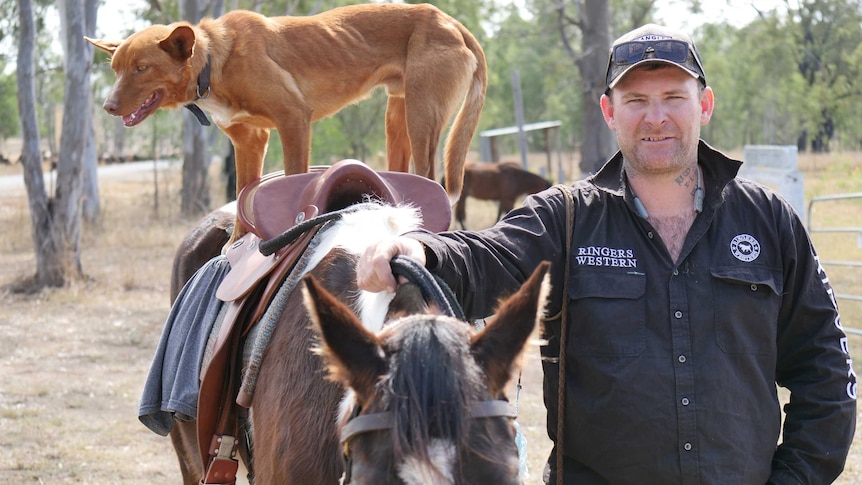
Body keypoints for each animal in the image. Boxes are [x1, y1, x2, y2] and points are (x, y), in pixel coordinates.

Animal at [90, 1, 490, 240]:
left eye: (142, 69)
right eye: (115, 69)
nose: (108, 106)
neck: (216, 61)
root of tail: (450, 21)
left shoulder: (293, 118)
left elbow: (295, 182)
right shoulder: (249, 141)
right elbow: (242, 197)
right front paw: (235, 246)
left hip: (421, 115)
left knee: (429, 178)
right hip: (398, 115)